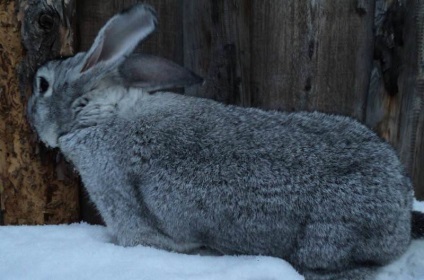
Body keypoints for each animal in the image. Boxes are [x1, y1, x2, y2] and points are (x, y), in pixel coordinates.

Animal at [27, 3, 424, 280]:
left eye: (42, 84)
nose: (31, 115)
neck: (97, 114)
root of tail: (400, 206)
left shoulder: (125, 206)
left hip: (327, 240)